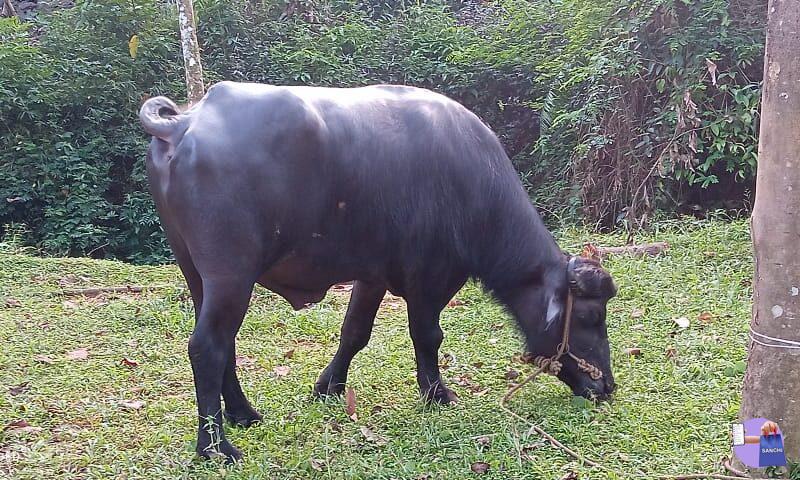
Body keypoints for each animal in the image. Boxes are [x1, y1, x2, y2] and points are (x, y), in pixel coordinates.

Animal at [139, 81, 620, 462]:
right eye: (590, 315)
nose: (606, 387)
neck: (474, 189)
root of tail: (184, 124)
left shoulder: (371, 275)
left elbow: (355, 331)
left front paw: (328, 386)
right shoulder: (431, 276)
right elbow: (428, 335)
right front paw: (436, 392)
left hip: (196, 273)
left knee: (225, 346)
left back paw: (243, 414)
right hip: (231, 274)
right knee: (207, 347)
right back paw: (215, 447)